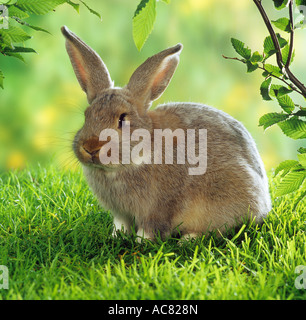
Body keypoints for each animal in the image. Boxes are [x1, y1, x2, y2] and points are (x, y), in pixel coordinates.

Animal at [61, 26, 272, 241]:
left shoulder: (158, 208)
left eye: (122, 119)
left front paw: (141, 242)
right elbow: (121, 225)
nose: (91, 147)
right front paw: (116, 237)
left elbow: (150, 227)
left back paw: (188, 239)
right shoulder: (121, 213)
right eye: (87, 116)